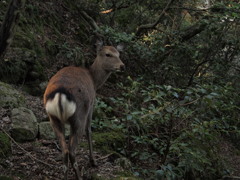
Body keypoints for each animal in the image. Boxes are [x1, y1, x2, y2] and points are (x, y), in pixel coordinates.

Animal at [43, 41, 125, 179]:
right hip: (79, 115)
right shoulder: (92, 103)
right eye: (108, 54)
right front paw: (93, 161)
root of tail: (60, 93)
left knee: (65, 150)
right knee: (72, 149)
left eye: (119, 54)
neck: (95, 81)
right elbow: (89, 129)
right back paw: (79, 176)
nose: (122, 66)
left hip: (53, 118)